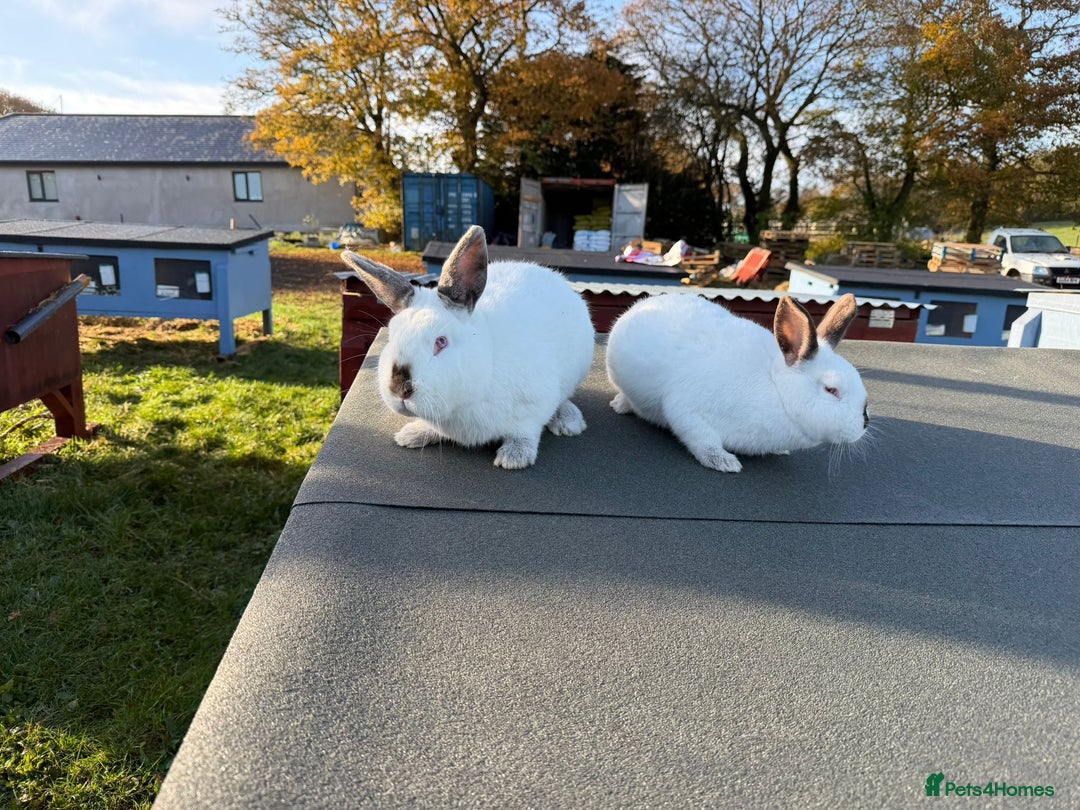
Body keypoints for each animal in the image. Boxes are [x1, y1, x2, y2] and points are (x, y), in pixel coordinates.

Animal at [341, 225, 594, 469]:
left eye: (441, 341)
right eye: (392, 335)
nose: (399, 389)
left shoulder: (534, 407)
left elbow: (526, 432)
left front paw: (514, 457)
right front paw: (412, 434)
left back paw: (569, 421)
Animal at [605, 292, 869, 472]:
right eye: (831, 390)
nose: (864, 423)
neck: (777, 389)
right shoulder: (686, 410)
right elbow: (702, 440)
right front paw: (724, 462)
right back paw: (620, 405)